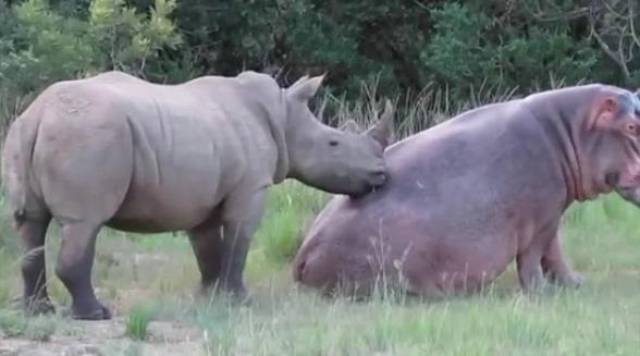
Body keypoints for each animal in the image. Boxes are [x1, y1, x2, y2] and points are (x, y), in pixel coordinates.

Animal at [1, 69, 396, 320]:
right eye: (334, 143)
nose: (380, 174)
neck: (284, 118)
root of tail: (40, 114)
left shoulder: (200, 196)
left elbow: (207, 247)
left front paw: (208, 297)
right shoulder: (251, 187)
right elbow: (239, 239)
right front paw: (240, 300)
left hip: (24, 132)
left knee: (30, 223)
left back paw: (37, 310)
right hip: (88, 136)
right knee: (85, 223)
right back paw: (95, 315)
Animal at [294, 83, 640, 298]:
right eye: (631, 126)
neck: (570, 129)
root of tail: (302, 256)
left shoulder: (551, 215)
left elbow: (554, 252)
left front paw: (575, 283)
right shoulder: (542, 217)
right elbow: (536, 256)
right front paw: (543, 292)